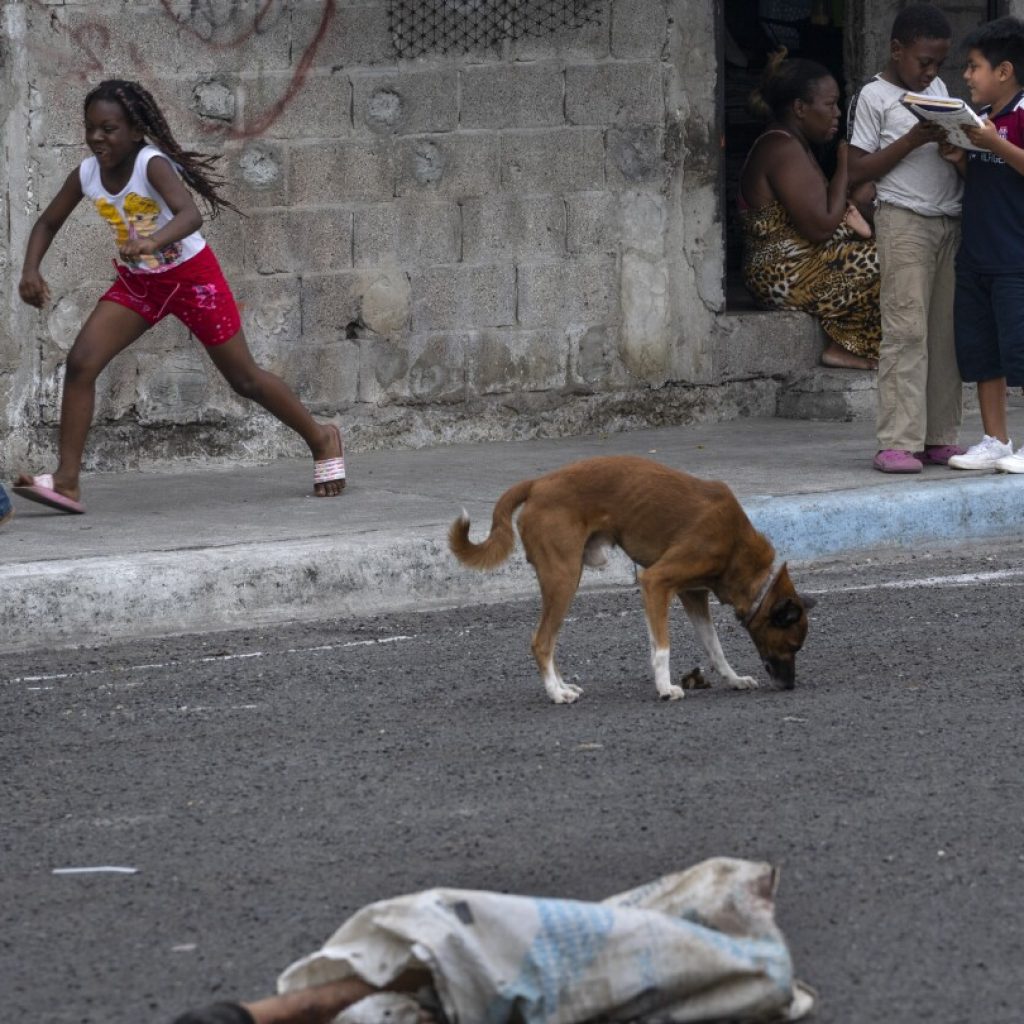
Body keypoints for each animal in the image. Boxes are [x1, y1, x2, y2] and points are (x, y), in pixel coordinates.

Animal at [448, 456, 815, 704]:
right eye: (793, 645)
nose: (791, 686)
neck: (737, 547)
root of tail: (538, 483)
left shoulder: (693, 595)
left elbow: (714, 647)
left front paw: (735, 679)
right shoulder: (656, 582)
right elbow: (663, 647)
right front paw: (665, 688)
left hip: (567, 577)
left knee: (549, 641)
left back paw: (563, 686)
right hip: (563, 577)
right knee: (541, 642)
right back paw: (556, 693)